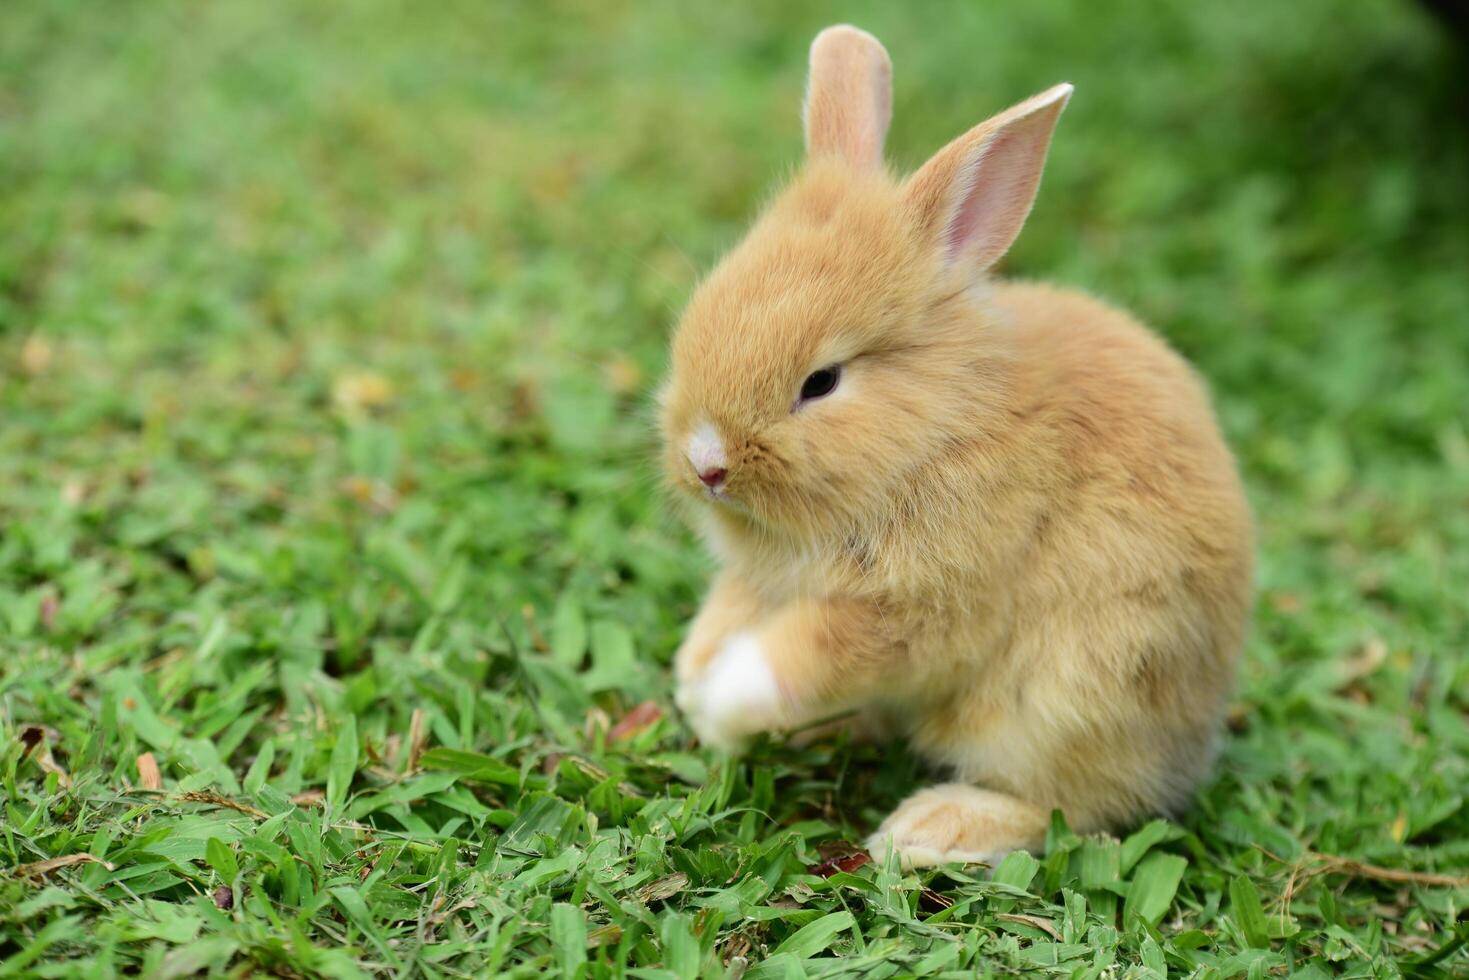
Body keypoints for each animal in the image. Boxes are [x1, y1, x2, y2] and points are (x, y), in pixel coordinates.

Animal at [661, 22, 1257, 869]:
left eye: (822, 381)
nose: (705, 463)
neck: (934, 427)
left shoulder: (917, 610)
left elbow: (800, 657)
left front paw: (719, 704)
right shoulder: (763, 582)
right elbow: (730, 612)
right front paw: (692, 676)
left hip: (1062, 705)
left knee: (1068, 810)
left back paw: (930, 829)